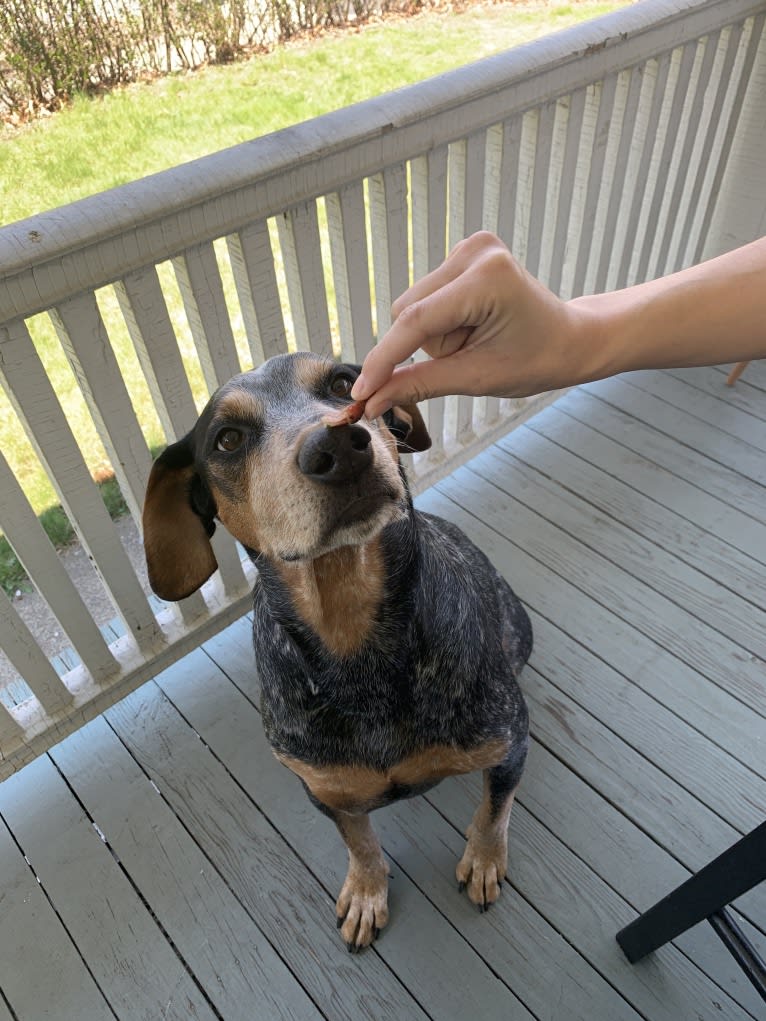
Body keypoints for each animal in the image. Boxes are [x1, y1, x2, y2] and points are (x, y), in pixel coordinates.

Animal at [142, 351, 535, 947]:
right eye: (227, 439)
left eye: (345, 383)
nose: (337, 445)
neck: (355, 632)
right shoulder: (326, 792)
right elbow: (360, 842)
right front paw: (367, 892)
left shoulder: (509, 742)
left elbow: (495, 809)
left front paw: (486, 859)